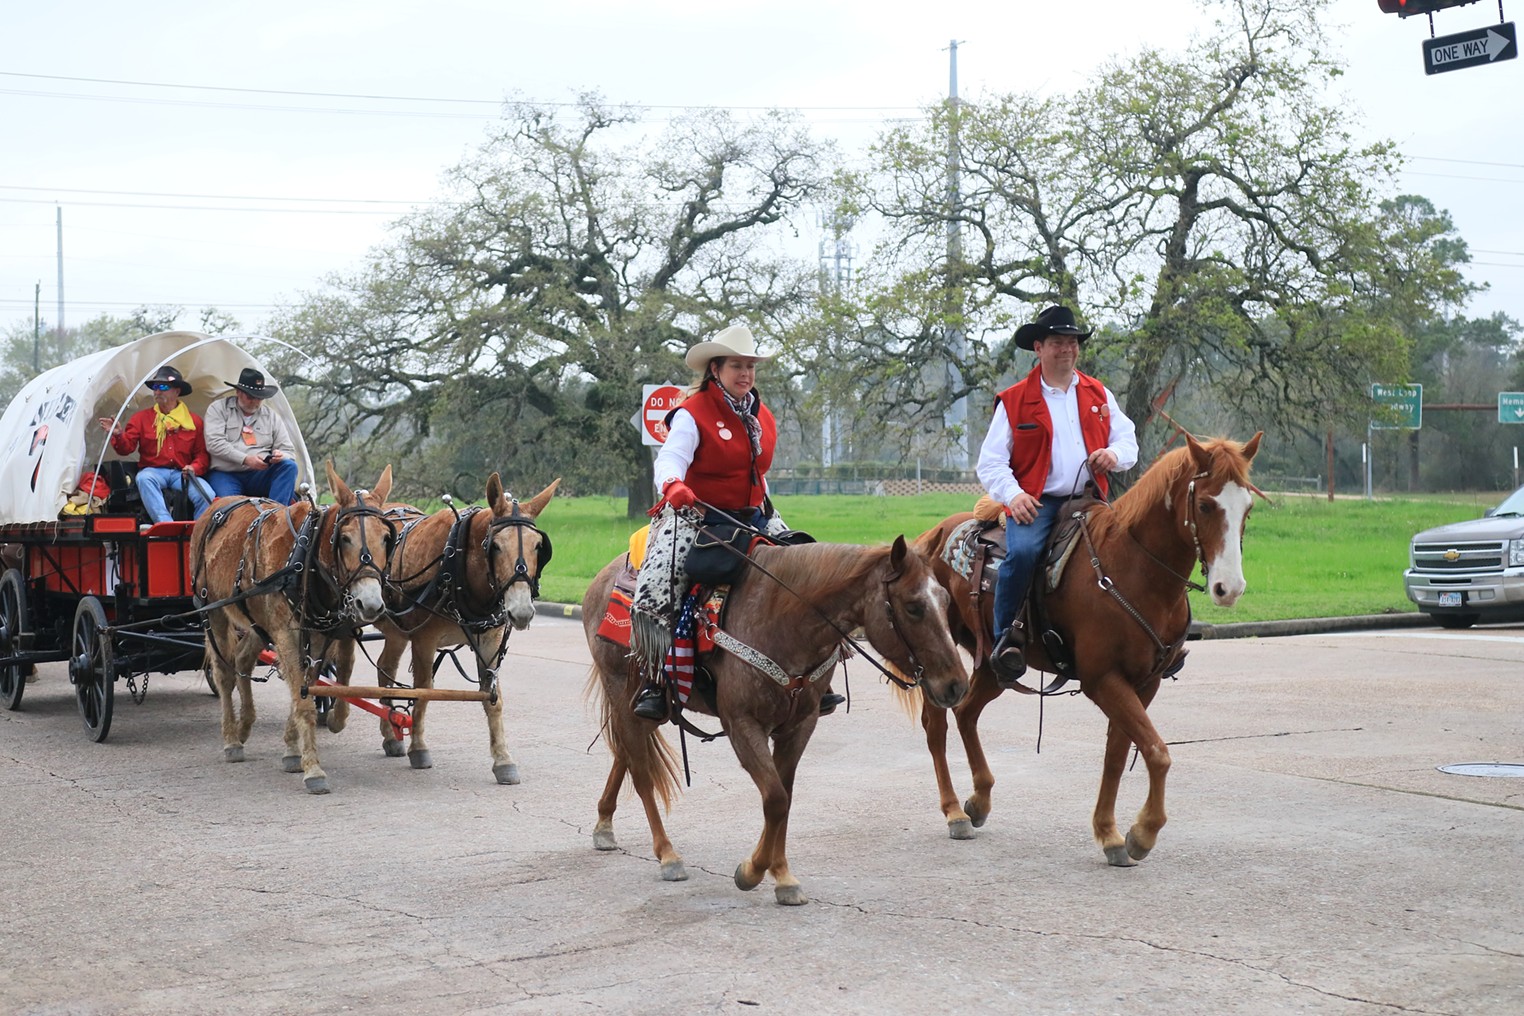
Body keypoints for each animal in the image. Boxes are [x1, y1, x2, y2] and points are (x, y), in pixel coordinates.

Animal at [189, 460, 396, 792]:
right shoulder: (286, 634)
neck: (305, 559)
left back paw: (244, 724)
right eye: (345, 538)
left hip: (258, 622)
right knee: (224, 673)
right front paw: (313, 768)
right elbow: (304, 701)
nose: (371, 603)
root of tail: (215, 506)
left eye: (386, 538)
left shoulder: (318, 636)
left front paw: (293, 747)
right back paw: (231, 738)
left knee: (243, 659)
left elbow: (307, 688)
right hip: (214, 611)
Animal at [356, 478, 560, 785]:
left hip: (397, 632)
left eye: (538, 546)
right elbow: (423, 691)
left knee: (385, 668)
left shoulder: (490, 639)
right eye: (495, 546)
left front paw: (503, 760)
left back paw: (391, 734)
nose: (522, 610)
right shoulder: (424, 639)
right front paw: (419, 748)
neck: (458, 565)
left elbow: (493, 697)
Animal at [576, 536, 969, 907]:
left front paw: (781, 876)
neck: (783, 620)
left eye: (946, 601)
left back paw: (604, 823)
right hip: (621, 692)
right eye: (913, 607)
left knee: (626, 755)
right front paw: (752, 871)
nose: (956, 685)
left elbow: (784, 797)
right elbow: (776, 799)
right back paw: (667, 855)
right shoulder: (743, 725)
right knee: (641, 771)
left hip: (652, 707)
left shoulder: (799, 726)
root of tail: (602, 578)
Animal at [902, 432, 1261, 871]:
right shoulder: (1102, 679)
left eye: (1248, 507)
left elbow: (1118, 753)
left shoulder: (1144, 683)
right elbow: (1157, 752)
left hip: (996, 666)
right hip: (936, 650)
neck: (1135, 570)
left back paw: (979, 800)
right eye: (1207, 505)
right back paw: (954, 811)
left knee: (967, 712)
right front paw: (1142, 833)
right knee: (936, 726)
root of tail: (932, 536)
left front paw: (1110, 834)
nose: (1230, 588)